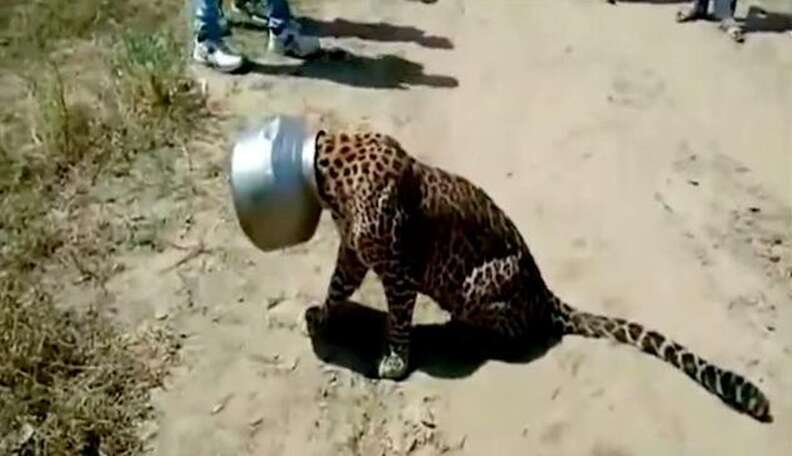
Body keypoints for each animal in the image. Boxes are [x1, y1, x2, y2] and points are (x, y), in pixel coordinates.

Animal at [304, 126, 772, 422]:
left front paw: (395, 361)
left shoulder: (398, 269)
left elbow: (399, 318)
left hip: (477, 282)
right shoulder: (352, 251)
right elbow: (338, 285)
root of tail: (545, 289)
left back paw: (464, 336)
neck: (331, 170)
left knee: (515, 330)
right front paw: (321, 316)